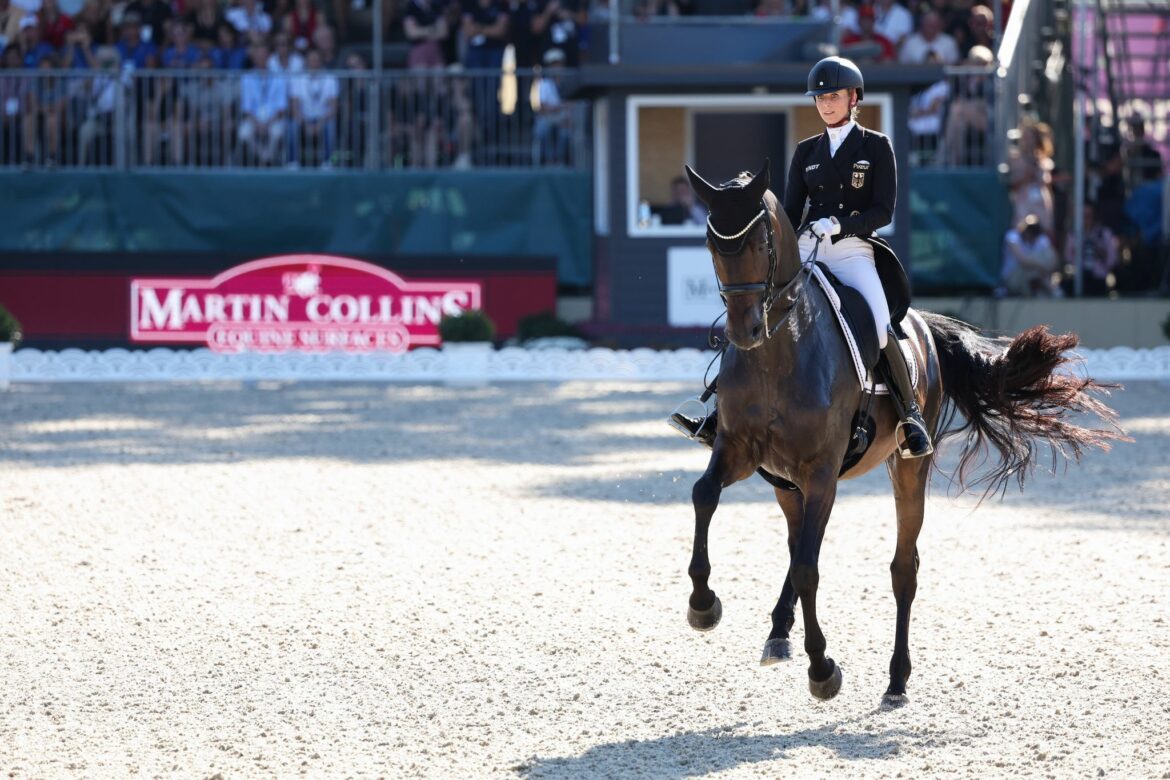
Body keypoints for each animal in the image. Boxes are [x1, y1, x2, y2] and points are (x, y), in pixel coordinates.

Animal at [683, 161, 1123, 706]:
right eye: (711, 242)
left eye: (762, 241)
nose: (743, 332)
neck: (779, 350)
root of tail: (924, 324)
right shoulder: (738, 449)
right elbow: (705, 496)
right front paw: (703, 603)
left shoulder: (822, 472)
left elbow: (810, 567)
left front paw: (822, 668)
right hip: (784, 479)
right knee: (795, 541)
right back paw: (779, 632)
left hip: (907, 465)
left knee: (901, 568)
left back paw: (896, 679)